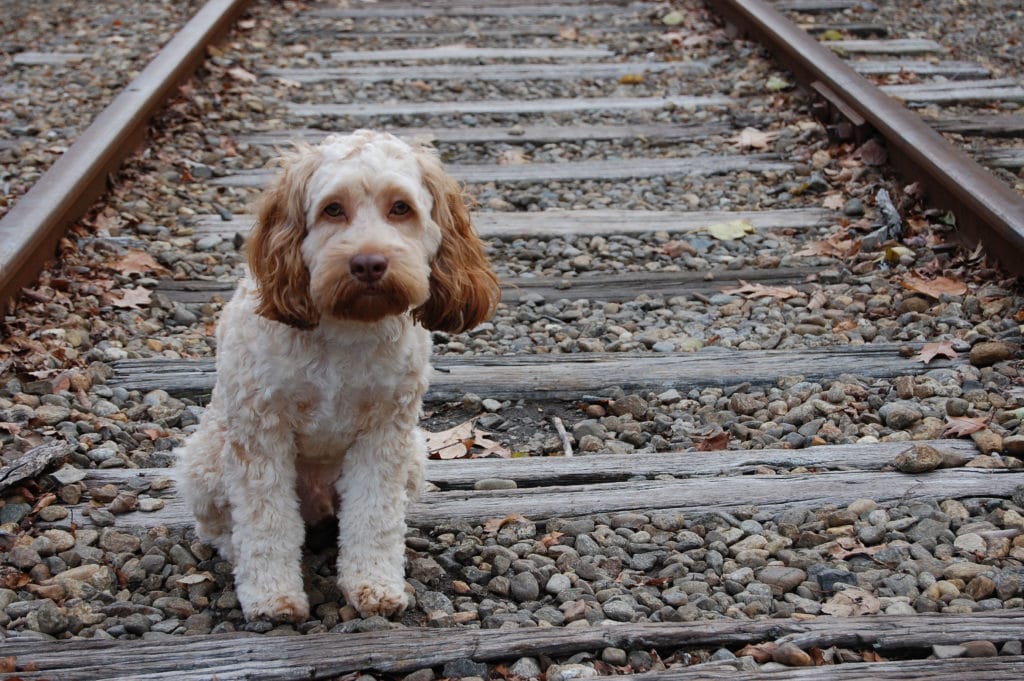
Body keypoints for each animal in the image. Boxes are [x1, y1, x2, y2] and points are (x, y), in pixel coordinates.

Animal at [177, 127, 503, 622]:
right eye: (333, 208)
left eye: (400, 208)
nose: (368, 262)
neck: (346, 330)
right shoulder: (259, 434)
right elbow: (266, 522)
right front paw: (272, 597)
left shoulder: (385, 434)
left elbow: (374, 517)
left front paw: (374, 585)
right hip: (205, 460)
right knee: (221, 528)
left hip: (414, 455)